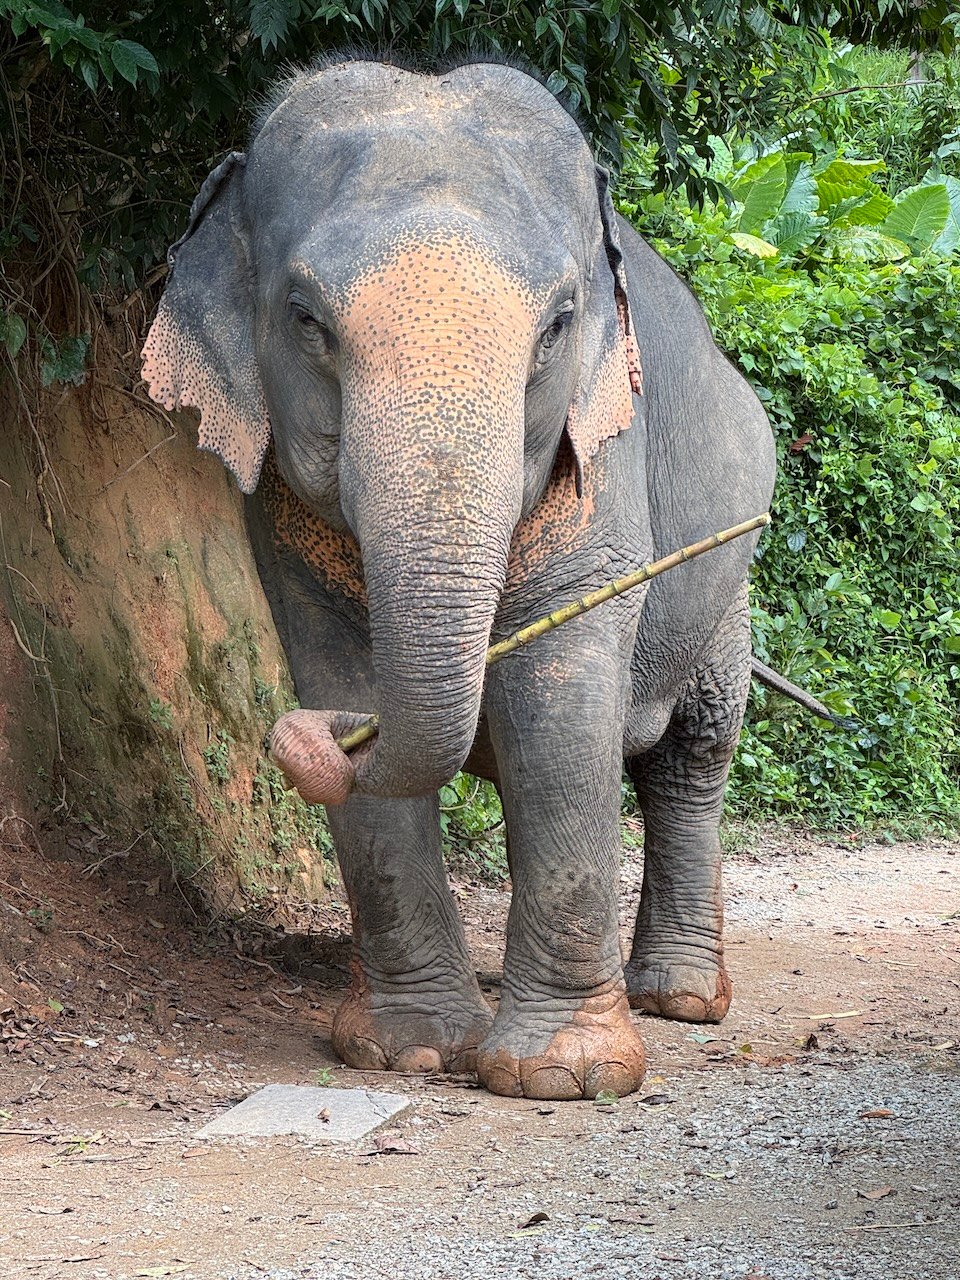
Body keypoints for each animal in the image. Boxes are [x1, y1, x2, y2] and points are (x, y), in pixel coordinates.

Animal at [142, 54, 777, 1101]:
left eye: (558, 324)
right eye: (306, 321)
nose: (311, 739)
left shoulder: (601, 464)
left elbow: (560, 712)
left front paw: (561, 1075)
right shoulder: (276, 519)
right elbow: (343, 669)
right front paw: (411, 1052)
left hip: (728, 578)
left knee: (691, 752)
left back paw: (679, 1000)